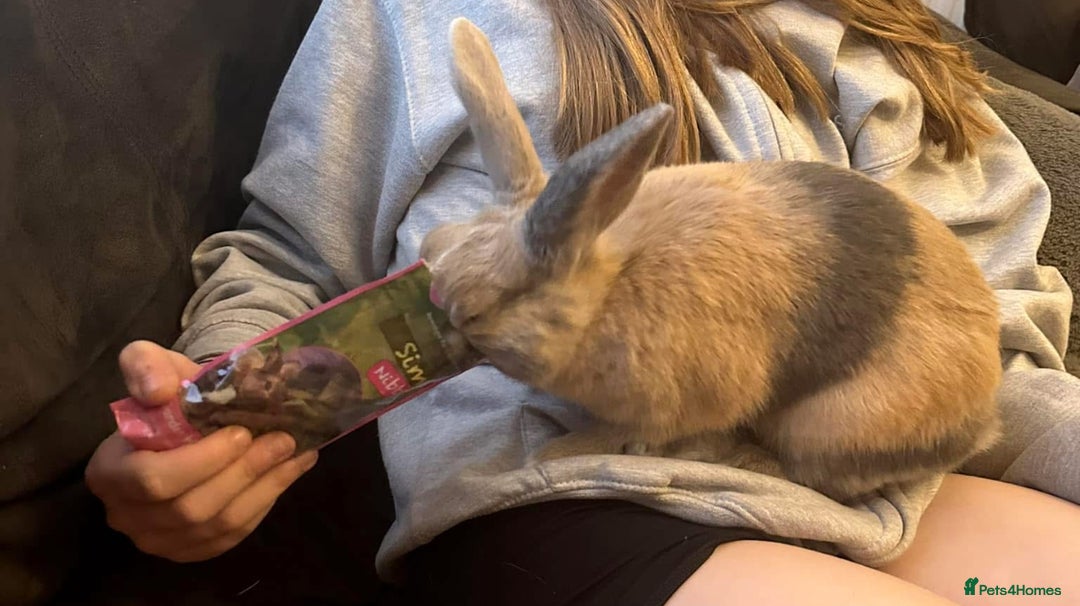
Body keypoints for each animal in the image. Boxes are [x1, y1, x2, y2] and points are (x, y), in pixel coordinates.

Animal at [420, 17, 1004, 502]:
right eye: (436, 246)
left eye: (478, 310)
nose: (437, 312)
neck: (609, 289)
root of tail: (981, 420)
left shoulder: (667, 406)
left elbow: (623, 432)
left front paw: (555, 454)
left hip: (832, 425)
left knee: (813, 477)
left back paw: (736, 458)